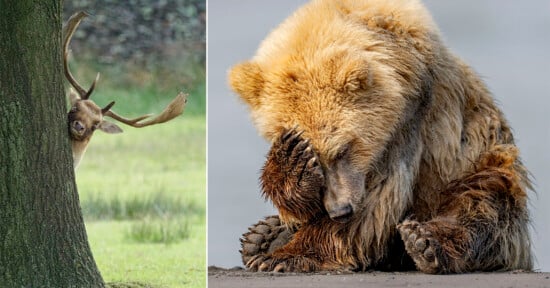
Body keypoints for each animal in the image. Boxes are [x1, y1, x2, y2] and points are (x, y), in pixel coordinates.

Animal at [230, 0, 536, 274]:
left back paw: (424, 243)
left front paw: (284, 257)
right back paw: (264, 235)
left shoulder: (408, 123)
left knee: (482, 203)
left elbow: (378, 202)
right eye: (317, 157)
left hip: (480, 161)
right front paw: (292, 161)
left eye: (342, 149)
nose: (339, 210)